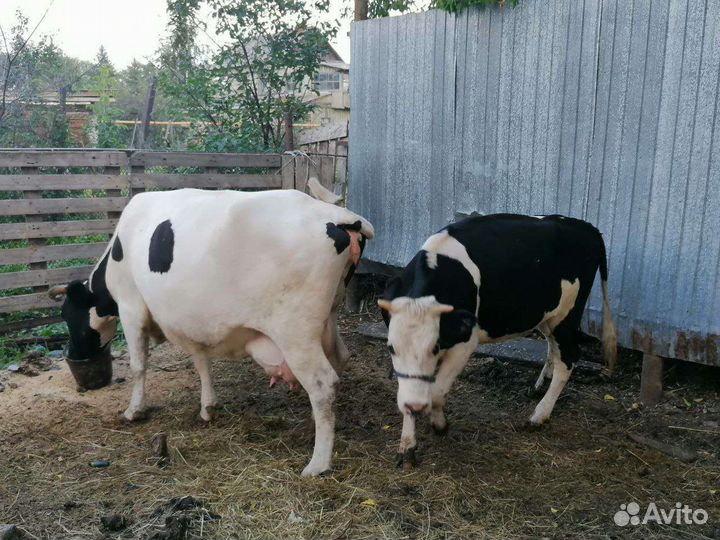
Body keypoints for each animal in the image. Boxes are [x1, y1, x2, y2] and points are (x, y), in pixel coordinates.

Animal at [48, 178, 373, 477]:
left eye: (67, 315)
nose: (74, 354)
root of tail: (339, 216)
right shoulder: (189, 320)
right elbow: (201, 360)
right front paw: (208, 407)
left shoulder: (132, 306)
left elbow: (139, 365)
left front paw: (133, 411)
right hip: (328, 317)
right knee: (339, 360)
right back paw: (315, 427)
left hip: (294, 331)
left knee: (322, 382)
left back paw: (318, 464)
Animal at [378, 214, 617, 469]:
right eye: (391, 348)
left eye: (434, 347)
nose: (415, 406)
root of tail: (585, 226)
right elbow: (412, 390)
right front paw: (407, 447)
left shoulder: (465, 342)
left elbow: (436, 392)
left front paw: (439, 425)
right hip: (546, 315)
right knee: (554, 348)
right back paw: (539, 386)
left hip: (567, 315)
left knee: (568, 358)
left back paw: (539, 415)